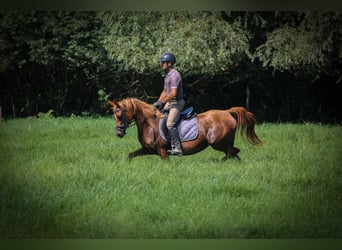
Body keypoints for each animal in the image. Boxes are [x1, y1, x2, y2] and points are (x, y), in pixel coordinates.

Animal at [109, 97, 262, 160]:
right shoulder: (147, 150)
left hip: (218, 143)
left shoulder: (162, 151)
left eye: (120, 114)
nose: (118, 133)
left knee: (233, 152)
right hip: (224, 143)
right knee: (234, 154)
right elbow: (130, 156)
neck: (149, 124)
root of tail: (227, 112)